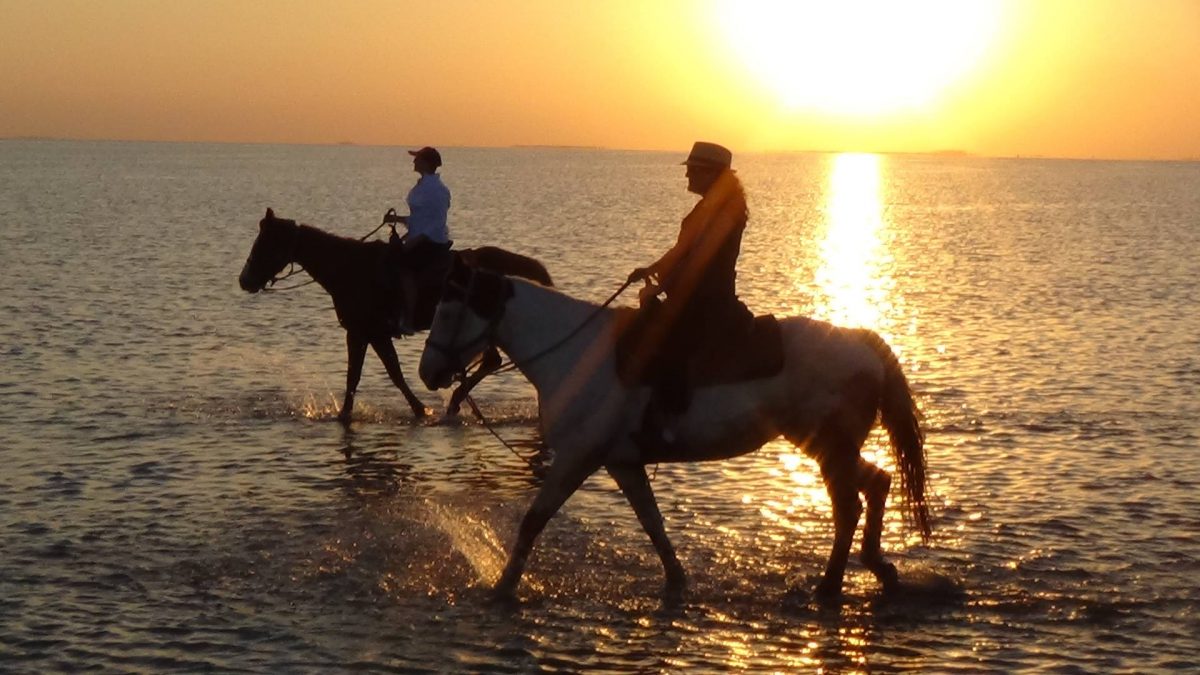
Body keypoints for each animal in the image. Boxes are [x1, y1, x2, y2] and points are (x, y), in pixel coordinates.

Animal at [241, 207, 549, 422]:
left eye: (265, 244)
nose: (244, 280)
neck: (350, 269)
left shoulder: (368, 332)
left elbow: (384, 374)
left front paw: (419, 409)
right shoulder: (365, 333)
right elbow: (366, 375)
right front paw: (347, 413)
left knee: (492, 361)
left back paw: (455, 402)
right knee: (492, 361)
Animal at [417, 263, 931, 598]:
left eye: (447, 312)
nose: (428, 373)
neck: (574, 352)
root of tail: (861, 341)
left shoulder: (577, 458)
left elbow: (533, 521)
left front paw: (503, 587)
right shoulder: (621, 462)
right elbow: (652, 523)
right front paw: (677, 579)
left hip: (827, 448)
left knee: (848, 507)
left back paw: (829, 585)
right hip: (830, 449)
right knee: (877, 484)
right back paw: (878, 568)